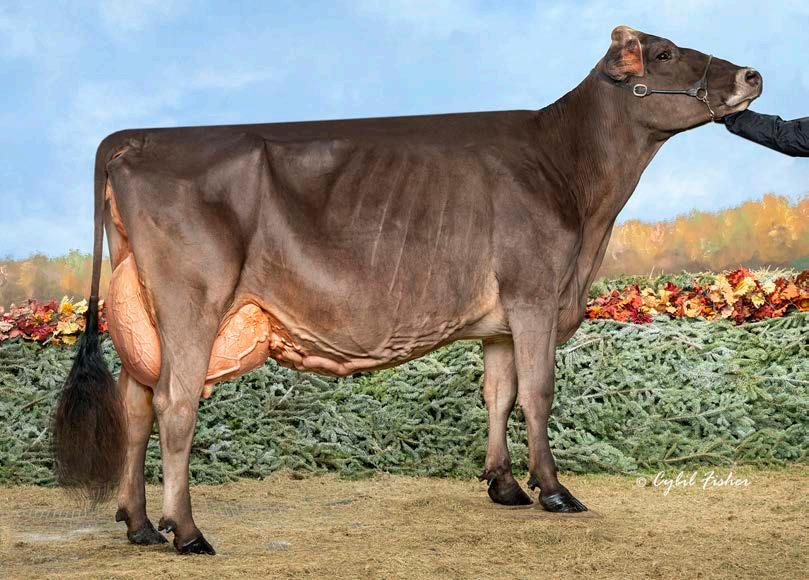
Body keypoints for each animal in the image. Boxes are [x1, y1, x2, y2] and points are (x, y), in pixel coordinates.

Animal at [53, 26, 762, 555]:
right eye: (666, 53)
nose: (752, 76)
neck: (576, 187)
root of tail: (136, 138)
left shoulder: (502, 321)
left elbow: (499, 394)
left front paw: (505, 486)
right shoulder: (536, 293)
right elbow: (538, 394)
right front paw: (555, 490)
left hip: (145, 305)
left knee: (136, 402)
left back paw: (140, 525)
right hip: (192, 298)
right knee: (174, 403)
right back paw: (188, 532)